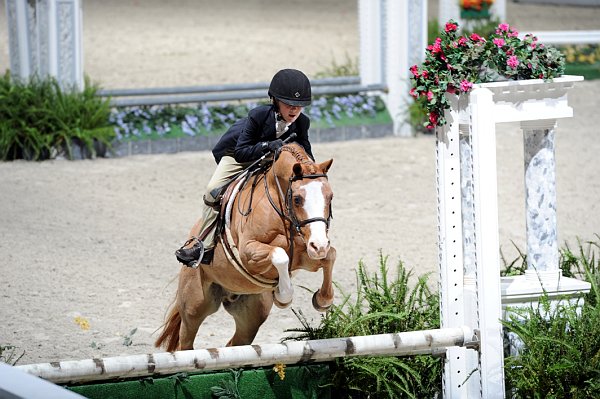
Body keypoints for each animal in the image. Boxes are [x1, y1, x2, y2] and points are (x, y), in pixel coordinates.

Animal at [155, 145, 336, 354]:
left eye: (330, 197)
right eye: (297, 199)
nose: (319, 245)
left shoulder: (304, 255)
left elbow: (330, 256)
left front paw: (322, 300)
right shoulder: (249, 254)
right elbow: (280, 255)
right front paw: (283, 297)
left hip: (250, 316)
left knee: (236, 343)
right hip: (194, 306)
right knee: (186, 342)